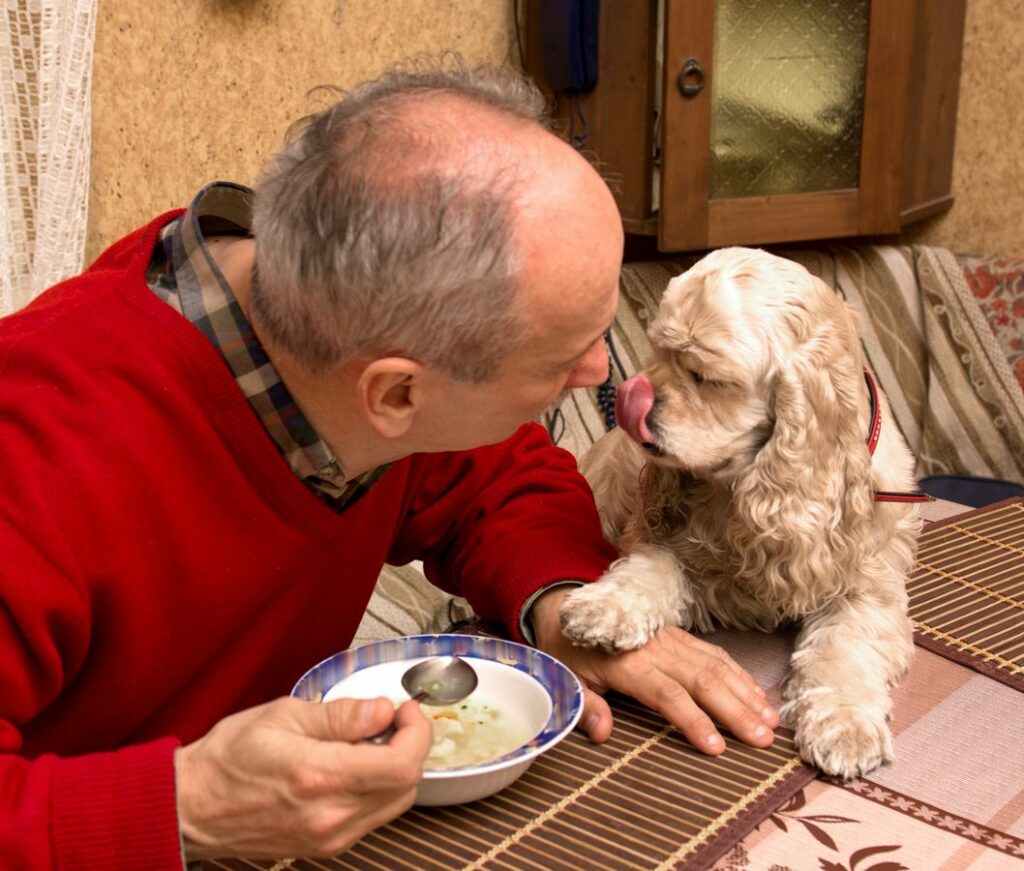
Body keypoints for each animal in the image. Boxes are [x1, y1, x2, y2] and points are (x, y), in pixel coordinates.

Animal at [565, 245, 925, 777]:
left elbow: (846, 648)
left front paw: (845, 726)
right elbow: (648, 572)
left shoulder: (868, 587)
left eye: (706, 378)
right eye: (659, 354)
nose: (634, 394)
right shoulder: (676, 546)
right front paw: (602, 609)